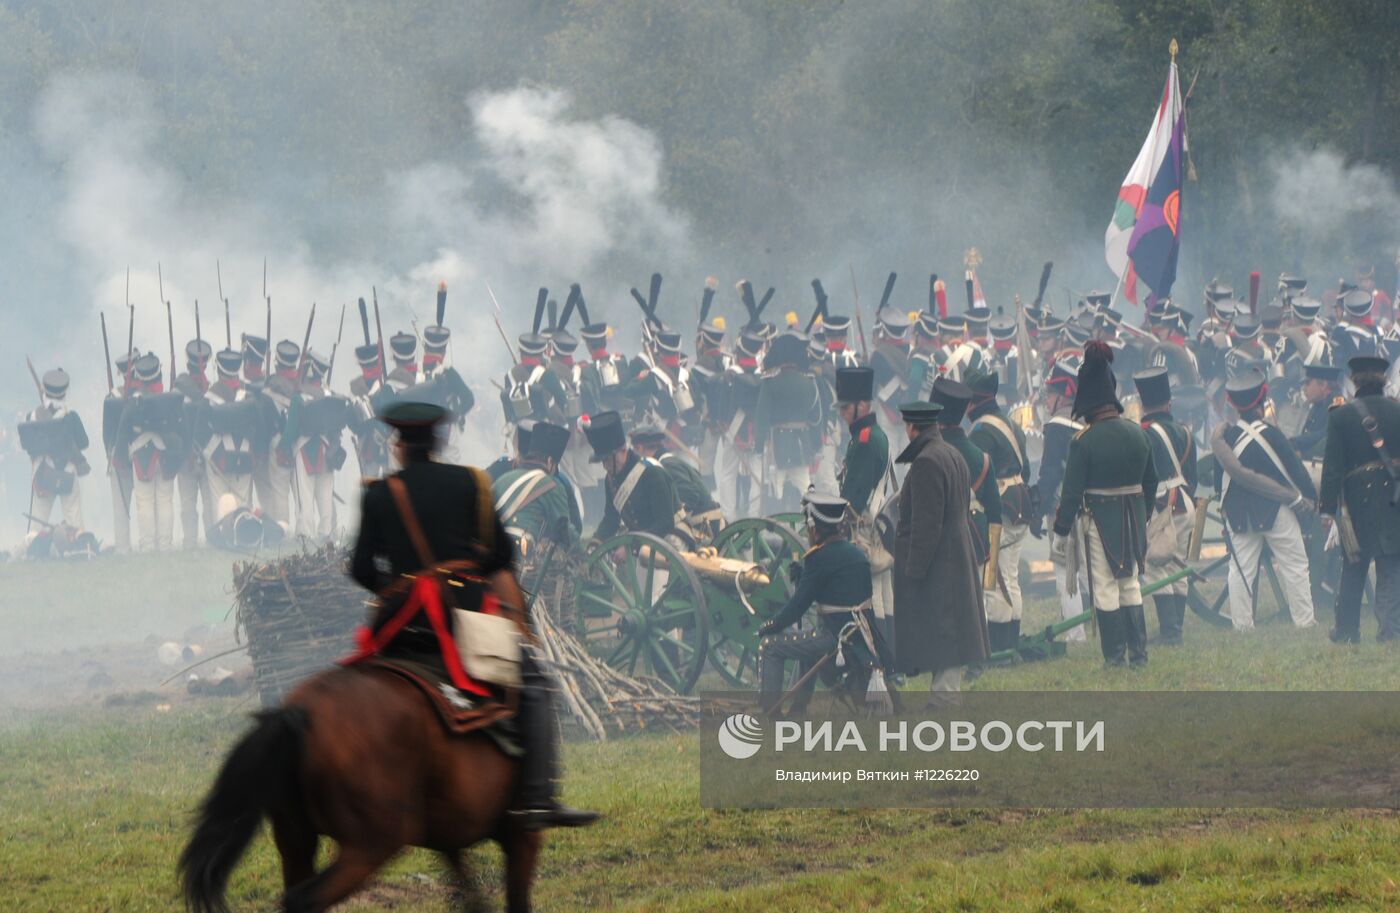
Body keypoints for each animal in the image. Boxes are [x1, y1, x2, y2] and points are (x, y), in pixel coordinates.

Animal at [180, 666, 540, 913]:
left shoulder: (451, 832)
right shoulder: (520, 831)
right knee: (305, 899)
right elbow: (515, 895)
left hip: (296, 840)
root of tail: (297, 714)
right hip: (371, 844)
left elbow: (469, 888)